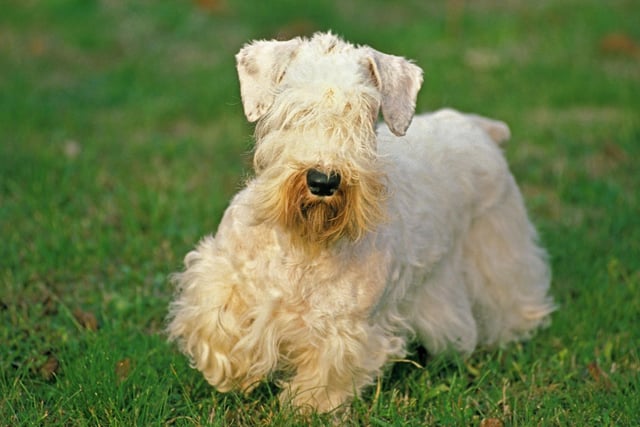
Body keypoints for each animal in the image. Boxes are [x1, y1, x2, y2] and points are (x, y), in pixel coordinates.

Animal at [166, 31, 556, 412]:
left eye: (363, 114)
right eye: (294, 109)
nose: (323, 180)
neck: (303, 242)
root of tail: (479, 127)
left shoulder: (346, 326)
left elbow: (326, 373)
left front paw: (305, 407)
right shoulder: (222, 274)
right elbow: (217, 323)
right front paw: (233, 373)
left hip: (498, 253)